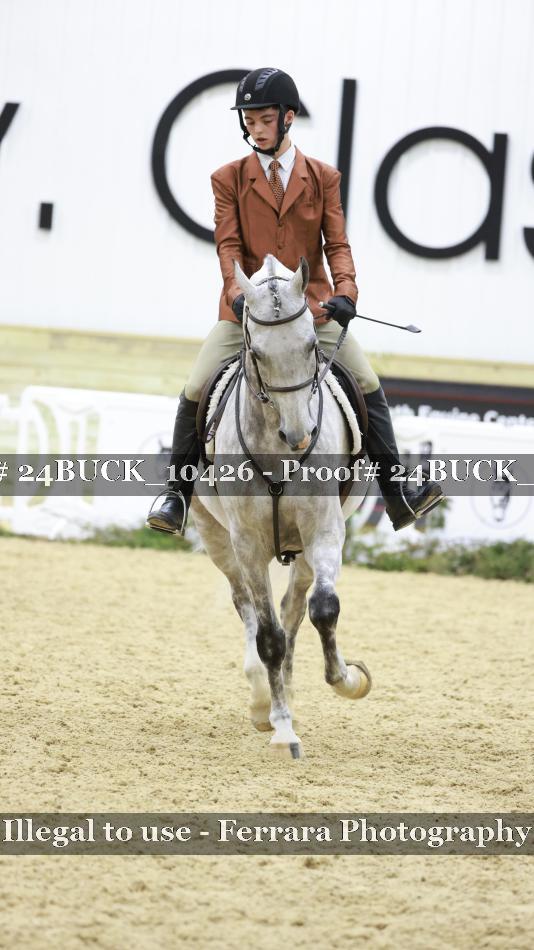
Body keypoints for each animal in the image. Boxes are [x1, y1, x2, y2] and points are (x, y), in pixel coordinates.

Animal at [190, 254, 372, 759]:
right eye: (256, 353)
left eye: (311, 345)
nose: (299, 435)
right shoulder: (247, 543)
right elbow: (267, 636)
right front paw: (283, 728)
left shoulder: (325, 530)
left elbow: (323, 609)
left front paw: (348, 679)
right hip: (217, 539)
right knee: (248, 608)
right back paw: (262, 703)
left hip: (303, 549)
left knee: (295, 609)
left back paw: (284, 691)